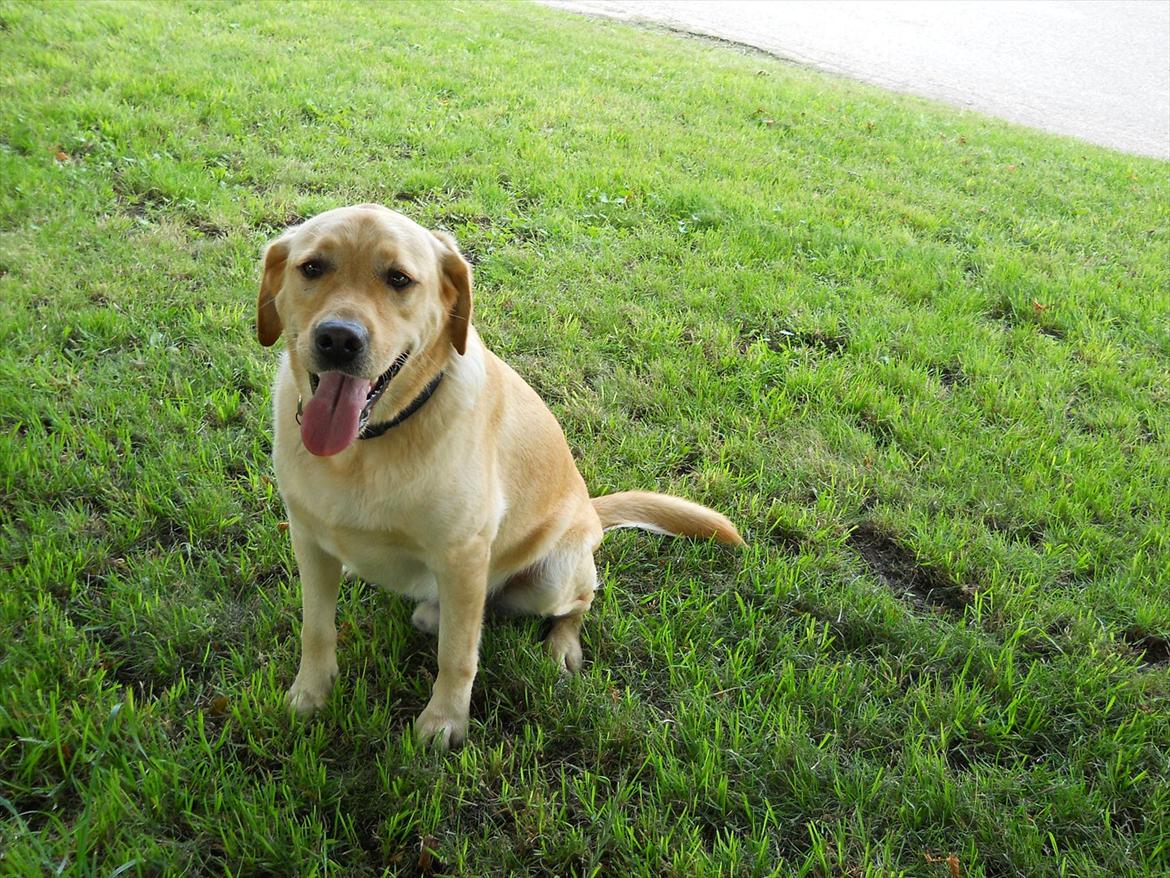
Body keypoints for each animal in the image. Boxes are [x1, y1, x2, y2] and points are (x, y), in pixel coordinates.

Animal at [259, 206, 744, 749]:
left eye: (399, 279)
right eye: (312, 268)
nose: (338, 339)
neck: (366, 447)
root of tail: (590, 510)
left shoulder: (463, 554)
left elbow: (457, 656)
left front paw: (444, 722)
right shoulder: (309, 539)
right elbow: (316, 628)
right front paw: (310, 694)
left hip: (552, 576)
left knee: (577, 603)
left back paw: (561, 645)